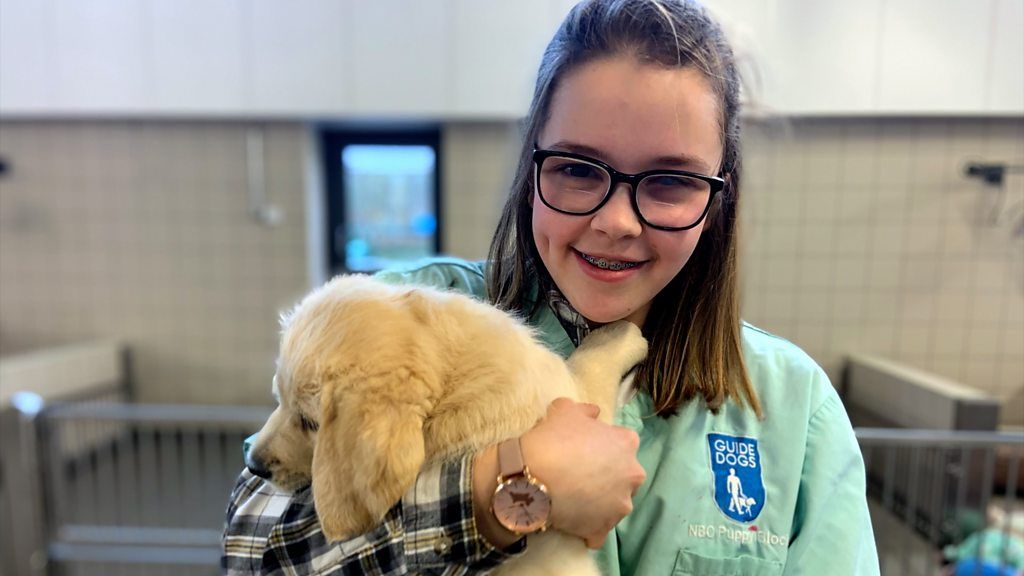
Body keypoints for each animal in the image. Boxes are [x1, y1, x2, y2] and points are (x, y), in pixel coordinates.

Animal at [246, 274, 643, 573]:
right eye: (279, 398)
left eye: (308, 422)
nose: (252, 464)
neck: (453, 382)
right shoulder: (576, 400)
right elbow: (591, 363)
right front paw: (625, 333)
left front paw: (622, 332)